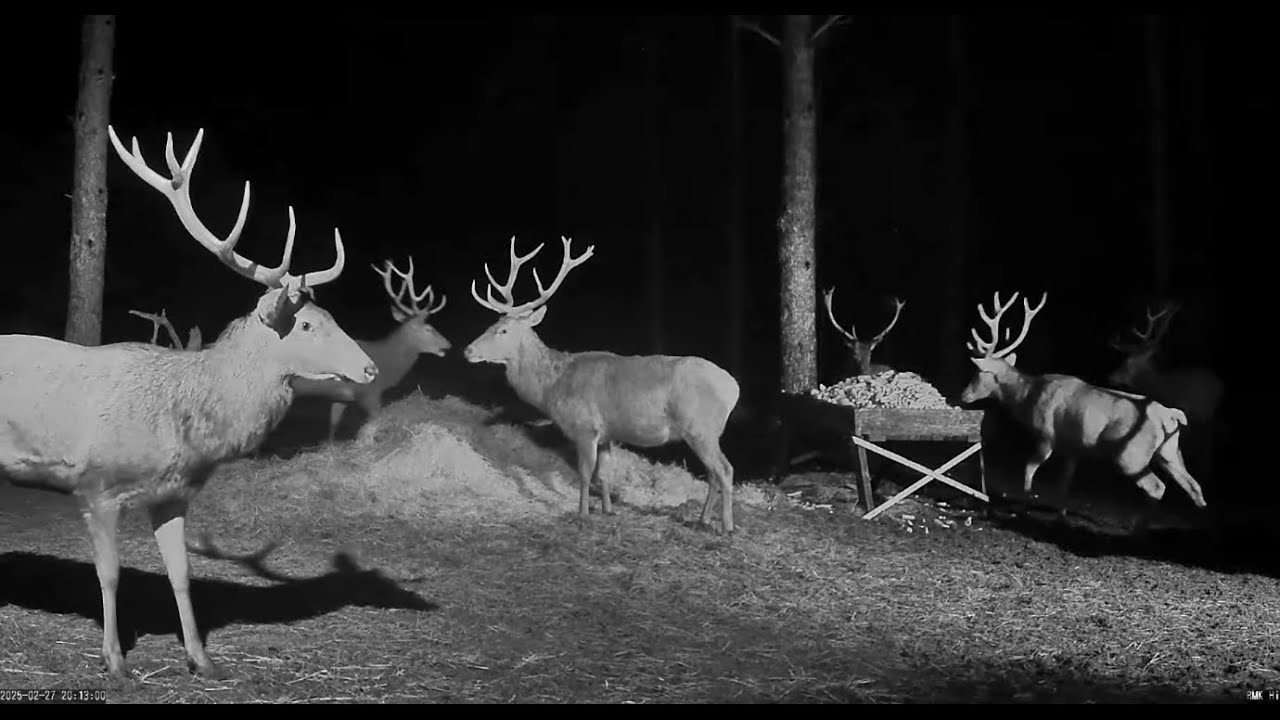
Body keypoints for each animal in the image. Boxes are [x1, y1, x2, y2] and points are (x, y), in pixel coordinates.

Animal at [0, 126, 378, 681]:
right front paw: (115, 662)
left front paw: (202, 659)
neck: (180, 427)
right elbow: (109, 575)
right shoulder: (95, 485)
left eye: (330, 317)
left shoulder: (173, 494)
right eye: (307, 325)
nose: (370, 368)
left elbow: (181, 573)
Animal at [292, 256, 451, 444]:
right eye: (428, 329)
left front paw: (329, 446)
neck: (388, 363)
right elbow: (374, 421)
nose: (448, 344)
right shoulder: (370, 393)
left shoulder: (340, 398)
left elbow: (333, 426)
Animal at [462, 236, 741, 533]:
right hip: (706, 432)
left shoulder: (585, 426)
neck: (552, 387)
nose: (468, 350)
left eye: (502, 330)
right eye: (492, 324)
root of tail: (734, 388)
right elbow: (605, 474)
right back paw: (702, 519)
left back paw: (726, 526)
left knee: (725, 470)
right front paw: (608, 510)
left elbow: (585, 474)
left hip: (700, 427)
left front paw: (582, 514)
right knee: (713, 473)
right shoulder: (607, 434)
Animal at [958, 291, 1207, 510]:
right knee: (1194, 486)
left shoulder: (1047, 436)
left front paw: (1025, 499)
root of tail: (1171, 415)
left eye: (977, 372)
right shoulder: (1074, 447)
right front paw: (1061, 511)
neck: (1026, 398)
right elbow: (1064, 485)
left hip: (1132, 454)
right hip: (1170, 451)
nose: (963, 395)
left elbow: (1028, 470)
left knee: (1157, 488)